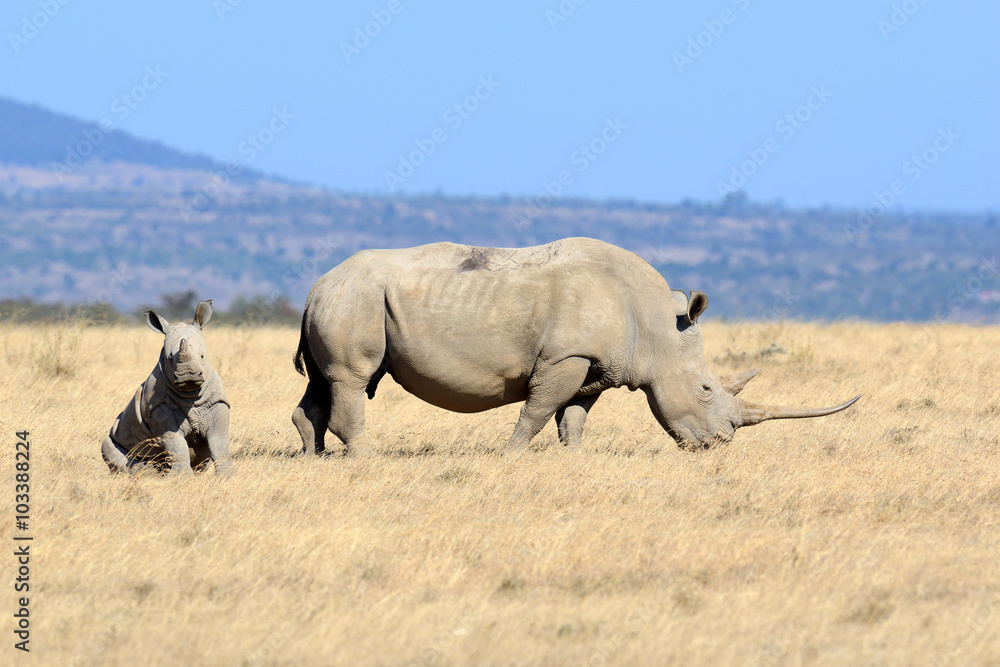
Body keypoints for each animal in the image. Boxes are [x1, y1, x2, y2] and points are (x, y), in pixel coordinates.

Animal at [101, 300, 235, 476]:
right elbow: (176, 444)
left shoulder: (217, 402)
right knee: (111, 448)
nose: (188, 375)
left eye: (202, 356)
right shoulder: (159, 407)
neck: (190, 394)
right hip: (115, 435)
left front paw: (228, 476)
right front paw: (183, 477)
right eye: (170, 358)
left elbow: (218, 441)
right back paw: (147, 472)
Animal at [292, 238, 858, 455]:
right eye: (704, 389)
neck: (657, 326)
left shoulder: (597, 365)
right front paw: (512, 455)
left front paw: (577, 458)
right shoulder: (567, 356)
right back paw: (364, 459)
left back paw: (314, 457)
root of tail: (317, 284)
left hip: (346, 298)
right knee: (353, 378)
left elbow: (574, 416)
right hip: (356, 298)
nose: (719, 446)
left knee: (323, 382)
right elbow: (539, 409)